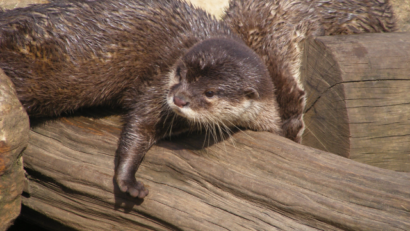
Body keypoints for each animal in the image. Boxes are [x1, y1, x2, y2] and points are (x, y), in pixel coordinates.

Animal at [0, 0, 282, 199]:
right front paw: (129, 182)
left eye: (210, 92)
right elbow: (139, 125)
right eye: (181, 74)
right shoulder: (157, 87)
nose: (179, 99)